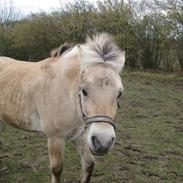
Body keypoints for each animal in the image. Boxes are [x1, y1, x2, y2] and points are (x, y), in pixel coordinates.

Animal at [0, 33, 124, 183]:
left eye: (119, 93)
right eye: (84, 91)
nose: (102, 142)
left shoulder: (81, 136)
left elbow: (89, 164)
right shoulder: (55, 138)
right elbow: (57, 170)